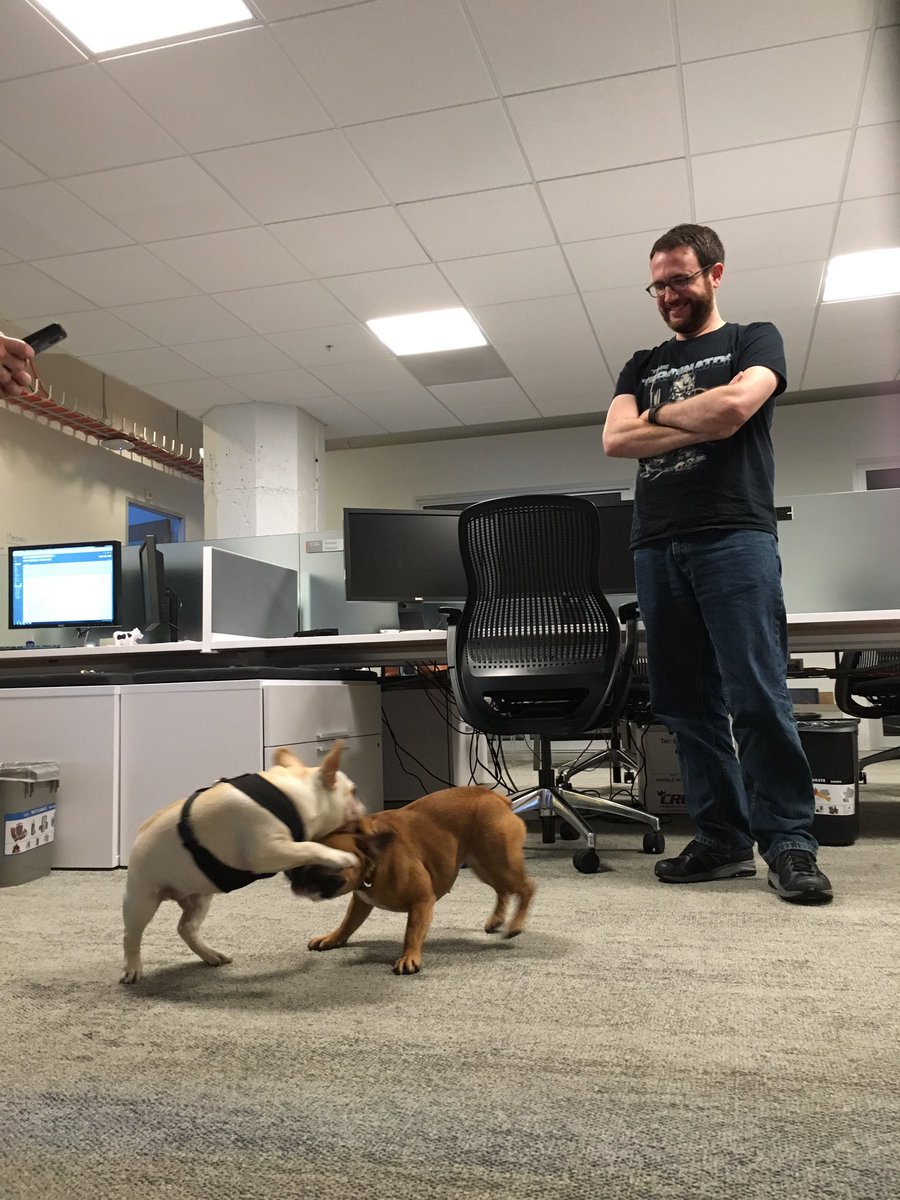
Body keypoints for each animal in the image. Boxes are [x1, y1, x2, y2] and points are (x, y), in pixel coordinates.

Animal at [120, 743, 364, 983]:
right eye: (353, 791)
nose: (364, 808)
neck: (297, 795)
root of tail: (139, 835)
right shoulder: (267, 852)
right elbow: (308, 847)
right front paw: (338, 856)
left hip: (200, 897)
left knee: (186, 928)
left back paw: (211, 955)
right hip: (142, 900)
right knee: (131, 935)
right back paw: (133, 967)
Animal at [287, 786, 536, 975]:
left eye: (323, 860)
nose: (294, 870)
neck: (374, 855)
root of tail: (497, 797)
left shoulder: (421, 901)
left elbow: (412, 931)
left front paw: (409, 957)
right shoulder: (361, 902)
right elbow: (348, 923)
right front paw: (332, 939)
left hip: (500, 863)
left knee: (526, 888)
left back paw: (515, 925)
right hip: (485, 867)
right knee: (503, 890)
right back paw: (496, 920)